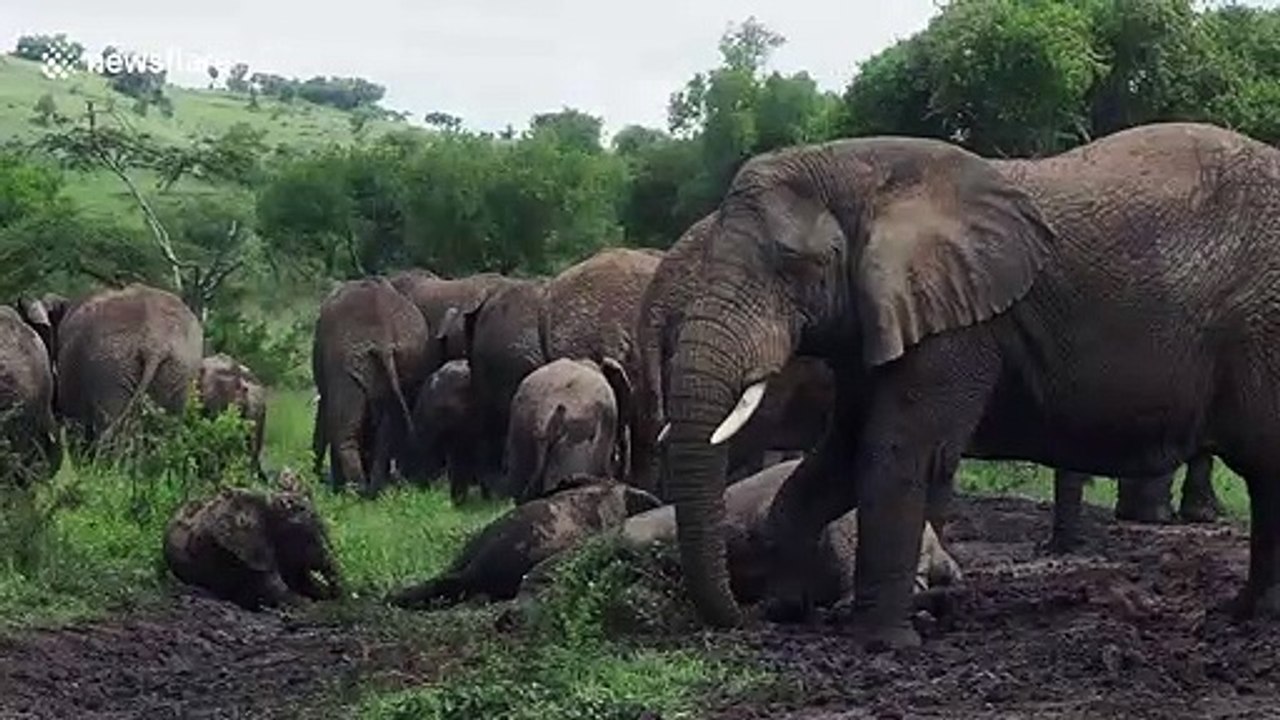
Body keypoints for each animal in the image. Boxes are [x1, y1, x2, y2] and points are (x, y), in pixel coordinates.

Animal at [311, 277, 432, 497]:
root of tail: (384, 336)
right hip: (409, 358)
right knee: (386, 430)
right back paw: (374, 491)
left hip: (347, 360)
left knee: (343, 430)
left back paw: (354, 491)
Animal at [656, 122, 1280, 649]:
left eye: (793, 265)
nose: (740, 619)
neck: (861, 171)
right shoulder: (880, 319)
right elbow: (836, 459)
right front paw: (788, 611)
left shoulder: (958, 329)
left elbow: (892, 455)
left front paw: (885, 644)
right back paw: (1241, 615)